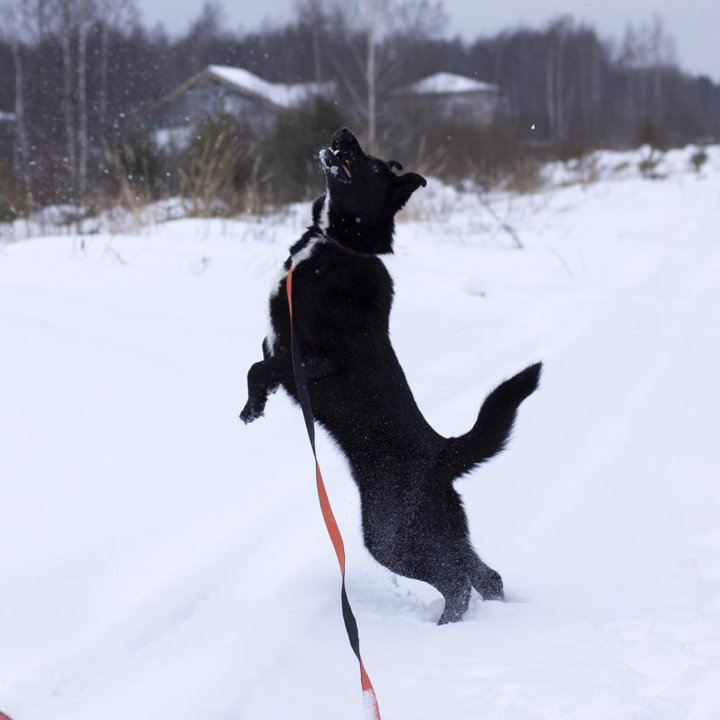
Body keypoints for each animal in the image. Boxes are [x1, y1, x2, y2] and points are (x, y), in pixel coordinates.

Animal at [242, 129, 540, 624]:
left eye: (375, 166)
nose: (343, 133)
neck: (341, 246)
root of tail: (442, 453)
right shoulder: (278, 347)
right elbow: (258, 367)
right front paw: (255, 405)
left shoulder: (313, 360)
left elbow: (259, 365)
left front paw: (251, 409)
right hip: (438, 530)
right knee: (485, 575)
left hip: (390, 536)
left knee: (457, 582)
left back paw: (443, 628)